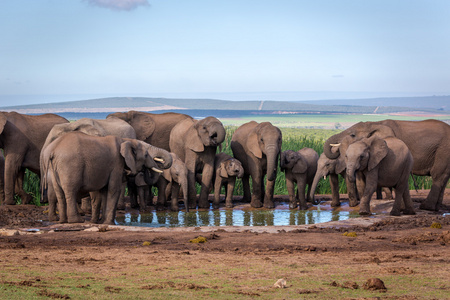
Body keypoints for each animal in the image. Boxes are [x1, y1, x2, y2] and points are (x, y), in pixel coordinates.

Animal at [40, 132, 172, 224]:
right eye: (145, 155)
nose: (145, 170)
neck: (125, 140)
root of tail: (52, 150)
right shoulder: (116, 164)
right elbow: (114, 189)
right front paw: (110, 223)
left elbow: (104, 191)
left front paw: (103, 222)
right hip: (70, 166)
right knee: (70, 191)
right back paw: (77, 221)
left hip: (54, 168)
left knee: (59, 193)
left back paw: (62, 221)